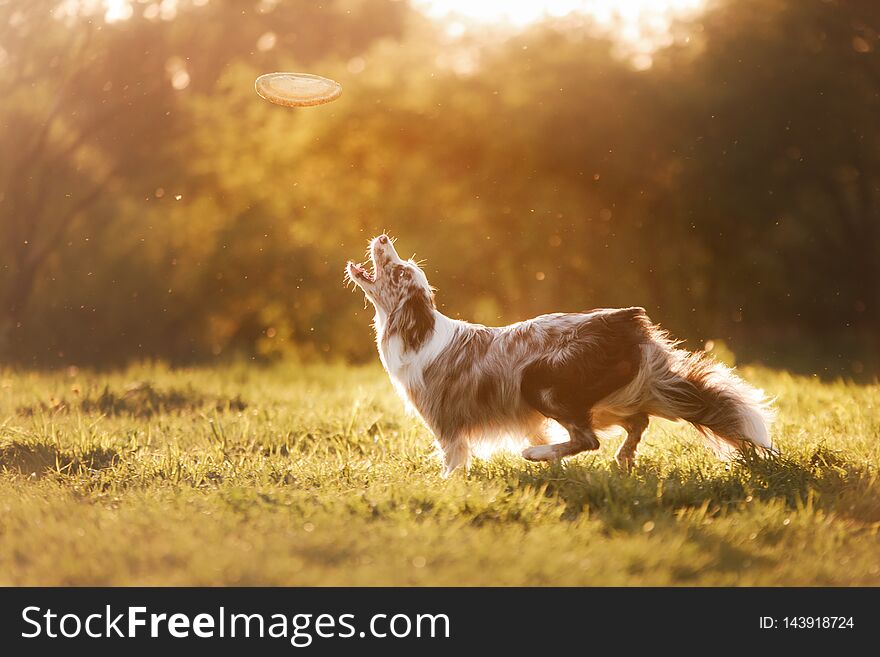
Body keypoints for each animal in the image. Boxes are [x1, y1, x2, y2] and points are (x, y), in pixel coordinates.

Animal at [344, 233, 768, 474]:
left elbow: (453, 460)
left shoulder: (447, 424)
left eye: (401, 272)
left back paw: (537, 454)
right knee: (638, 421)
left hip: (541, 381)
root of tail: (626, 321)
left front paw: (449, 483)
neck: (417, 331)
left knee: (589, 438)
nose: (383, 236)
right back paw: (619, 460)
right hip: (611, 397)